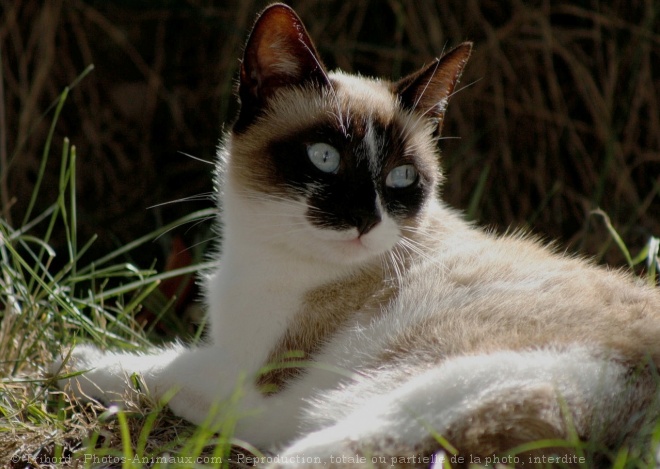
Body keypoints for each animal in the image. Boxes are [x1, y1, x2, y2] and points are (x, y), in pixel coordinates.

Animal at [54, 2, 660, 464]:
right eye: (323, 157)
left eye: (401, 178)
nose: (367, 220)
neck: (262, 260)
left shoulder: (260, 379)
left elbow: (159, 366)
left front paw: (73, 360)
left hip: (375, 408)